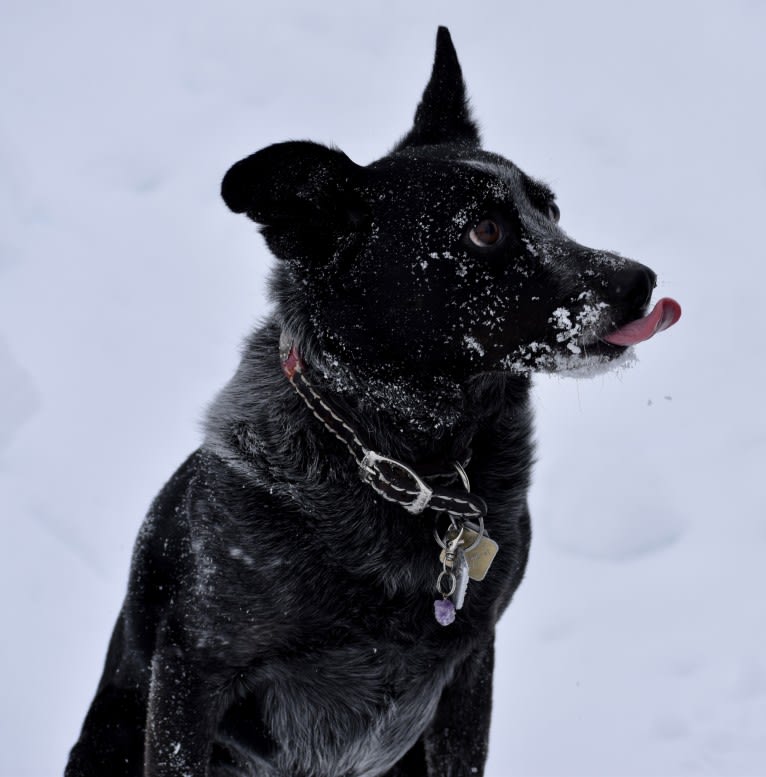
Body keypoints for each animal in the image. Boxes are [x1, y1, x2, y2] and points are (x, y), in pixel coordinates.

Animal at [63, 25, 680, 776]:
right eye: (484, 230)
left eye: (551, 209)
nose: (641, 282)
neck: (405, 461)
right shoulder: (193, 669)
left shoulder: (471, 665)